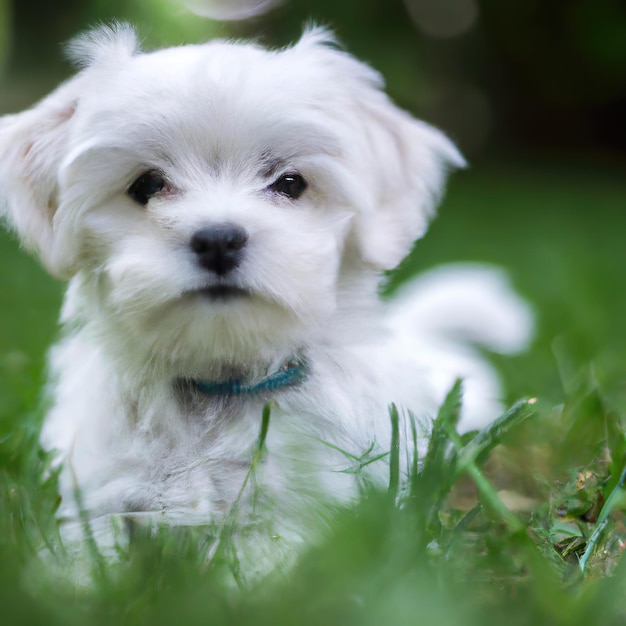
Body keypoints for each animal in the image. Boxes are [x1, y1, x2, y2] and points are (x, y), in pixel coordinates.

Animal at [0, 25, 528, 564]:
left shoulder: (309, 510)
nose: (218, 239)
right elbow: (92, 556)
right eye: (147, 185)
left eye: (290, 183)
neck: (221, 384)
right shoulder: (101, 493)